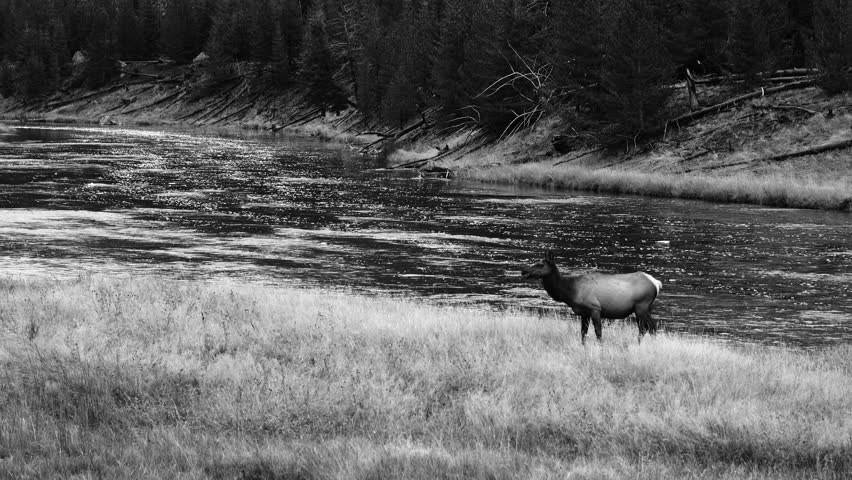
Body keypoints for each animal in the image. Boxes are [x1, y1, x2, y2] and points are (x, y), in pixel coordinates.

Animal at [521, 251, 662, 344]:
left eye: (540, 265)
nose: (524, 271)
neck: (569, 292)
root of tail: (656, 283)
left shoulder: (595, 308)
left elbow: (598, 333)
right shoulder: (584, 313)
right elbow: (583, 333)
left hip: (641, 306)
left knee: (646, 328)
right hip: (644, 308)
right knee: (650, 328)